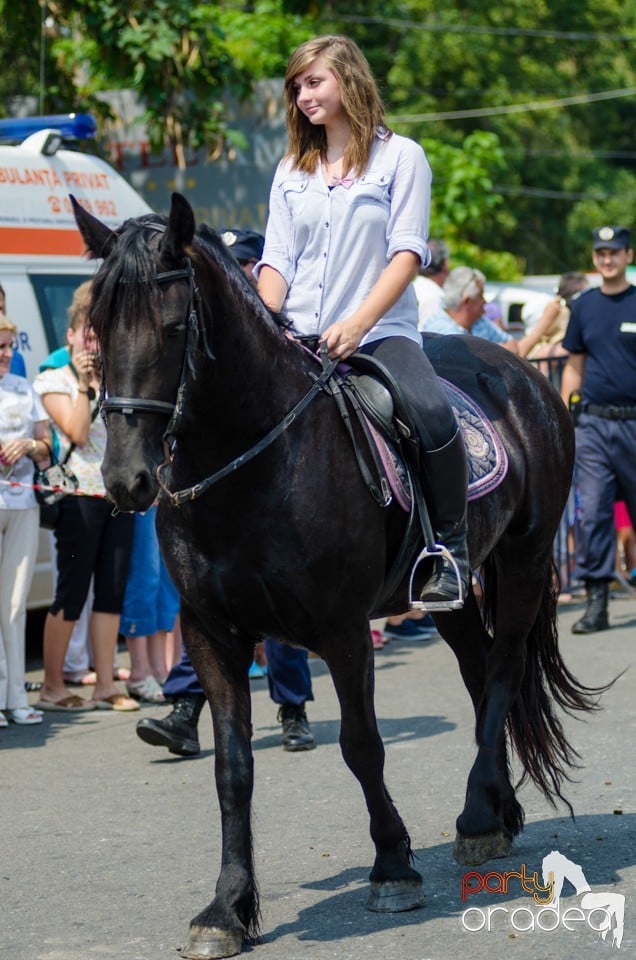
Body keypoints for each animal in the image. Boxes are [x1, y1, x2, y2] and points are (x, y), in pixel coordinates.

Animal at [72, 195, 604, 960]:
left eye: (173, 328)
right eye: (98, 328)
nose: (124, 480)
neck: (254, 463)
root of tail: (524, 372)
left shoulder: (343, 630)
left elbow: (362, 745)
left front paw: (393, 867)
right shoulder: (209, 633)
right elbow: (232, 770)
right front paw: (227, 908)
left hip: (528, 560)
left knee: (502, 671)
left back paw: (477, 818)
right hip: (448, 594)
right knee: (479, 675)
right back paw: (495, 810)